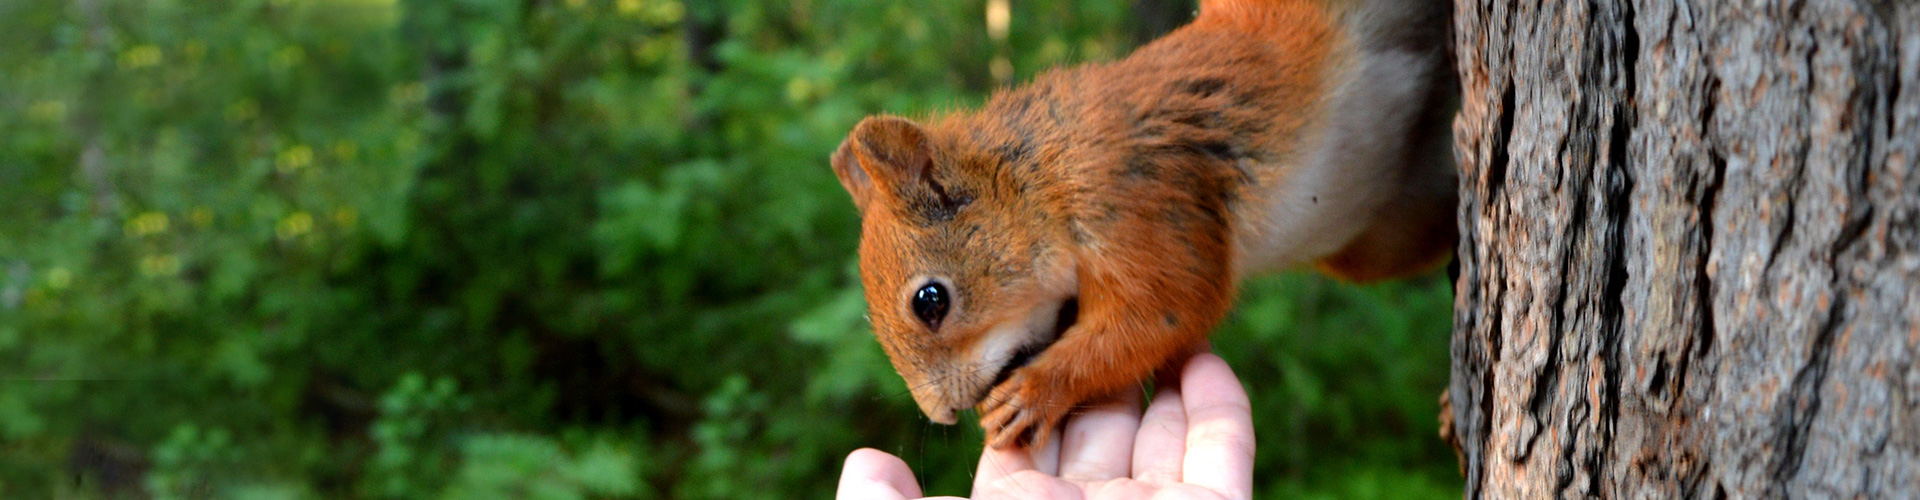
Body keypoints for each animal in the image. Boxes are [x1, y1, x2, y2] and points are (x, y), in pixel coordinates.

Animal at [829, 0, 1451, 450]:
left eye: (930, 301)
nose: (942, 415)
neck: (1044, 177)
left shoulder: (1137, 203)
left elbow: (1165, 310)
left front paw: (1034, 392)